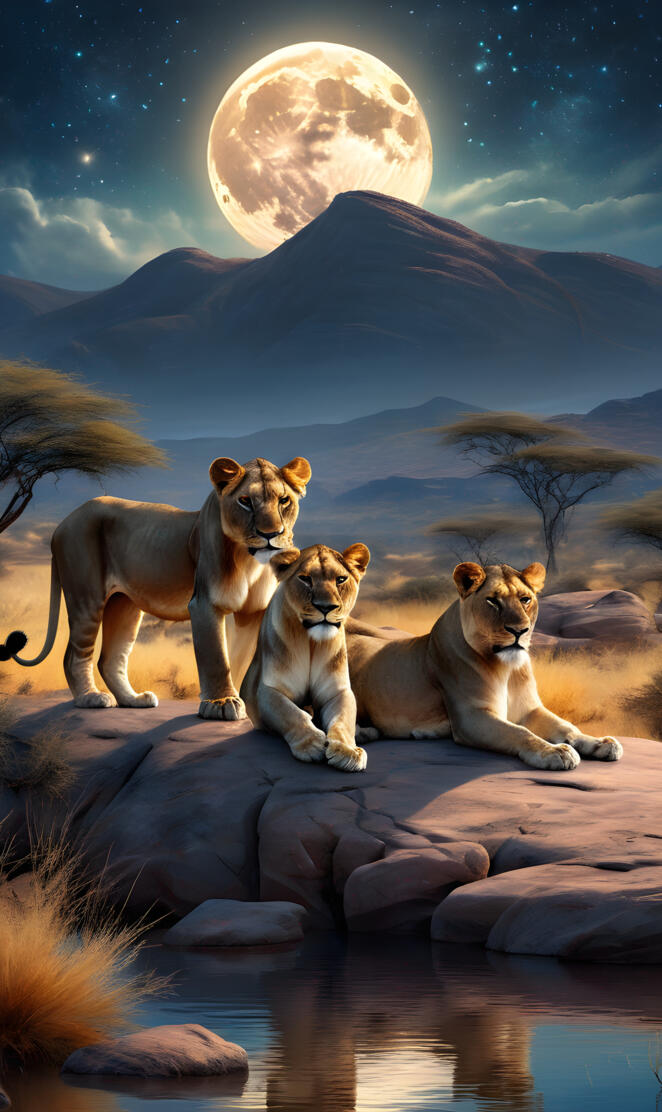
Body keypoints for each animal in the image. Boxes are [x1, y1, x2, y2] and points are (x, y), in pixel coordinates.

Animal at [0, 455, 311, 720]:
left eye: (284, 500)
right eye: (246, 501)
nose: (271, 534)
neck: (249, 560)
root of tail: (63, 522)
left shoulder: (252, 613)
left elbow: (238, 659)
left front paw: (237, 701)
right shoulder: (204, 604)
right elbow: (215, 657)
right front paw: (221, 703)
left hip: (123, 605)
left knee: (109, 659)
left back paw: (133, 700)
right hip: (86, 596)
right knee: (74, 655)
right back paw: (90, 698)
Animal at [241, 542, 371, 771]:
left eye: (340, 579)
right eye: (305, 579)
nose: (326, 607)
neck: (311, 642)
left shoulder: (337, 691)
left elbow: (343, 720)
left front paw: (347, 751)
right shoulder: (269, 690)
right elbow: (290, 713)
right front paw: (312, 744)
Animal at [347, 560, 623, 771]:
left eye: (525, 599)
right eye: (493, 601)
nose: (519, 630)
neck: (507, 669)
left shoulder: (529, 709)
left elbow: (567, 726)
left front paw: (601, 743)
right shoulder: (471, 717)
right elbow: (519, 732)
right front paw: (555, 752)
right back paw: (361, 735)